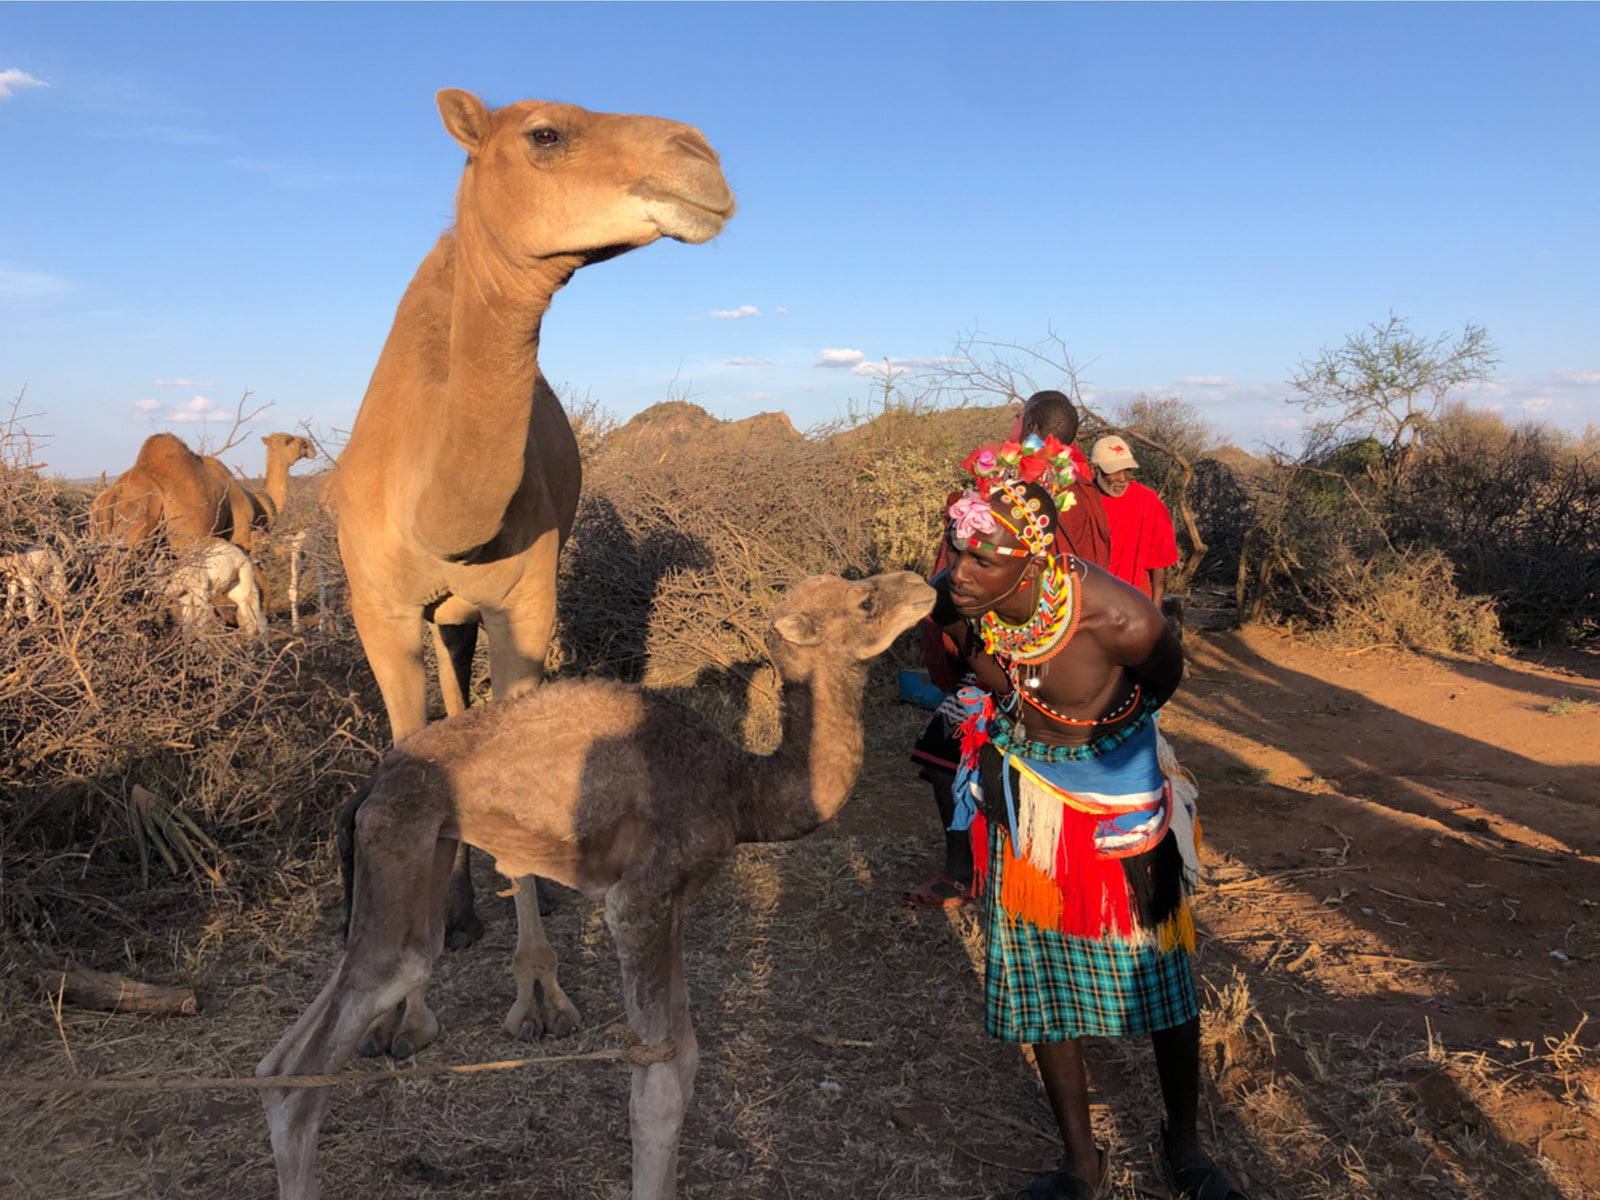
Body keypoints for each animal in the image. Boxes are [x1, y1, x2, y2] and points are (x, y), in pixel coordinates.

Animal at [257, 571, 935, 1200]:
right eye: (865, 601)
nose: (921, 586)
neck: (740, 788)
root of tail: (371, 785)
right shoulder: (638, 902)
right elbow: (660, 1085)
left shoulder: (674, 902)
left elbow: (686, 1058)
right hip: (399, 841)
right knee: (314, 1067)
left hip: (420, 852)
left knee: (291, 1053)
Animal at [325, 89, 734, 1053]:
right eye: (545, 134)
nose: (703, 160)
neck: (436, 501)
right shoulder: (379, 611)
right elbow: (409, 747)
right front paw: (405, 1010)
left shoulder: (524, 603)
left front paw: (540, 989)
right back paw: (458, 913)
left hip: (471, 616)